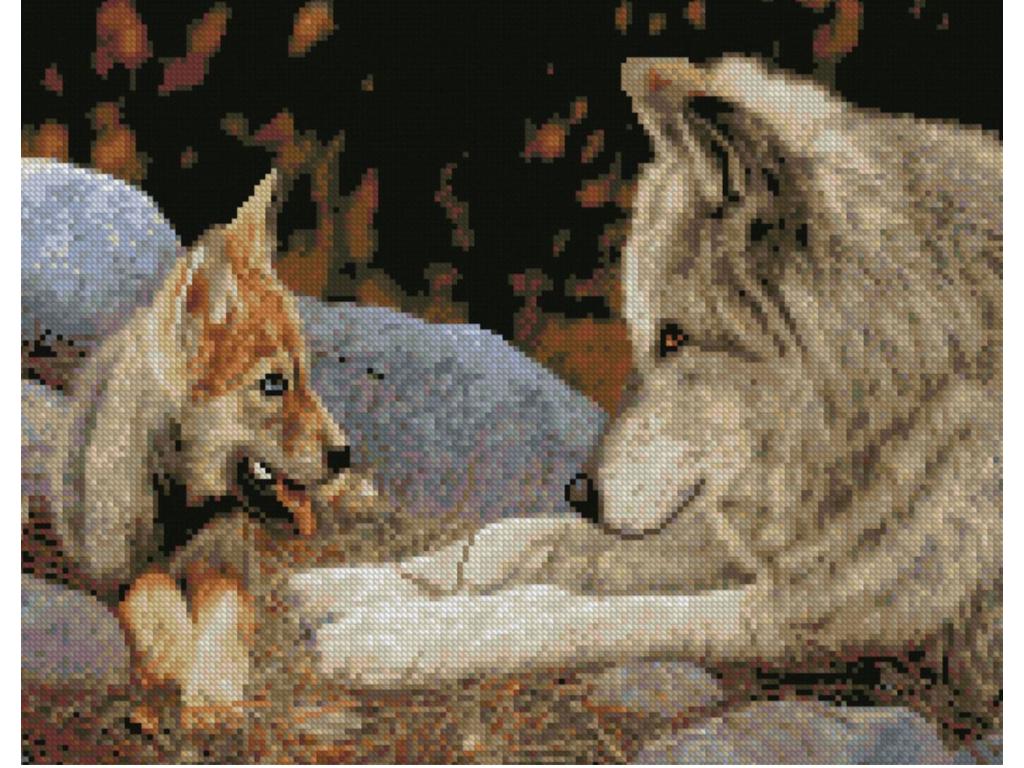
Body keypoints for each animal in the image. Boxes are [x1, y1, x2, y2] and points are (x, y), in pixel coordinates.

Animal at [289, 56, 1001, 731]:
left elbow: (564, 610)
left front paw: (388, 639)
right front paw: (347, 586)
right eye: (644, 333)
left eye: (675, 337)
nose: (580, 493)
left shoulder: (813, 618)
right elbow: (509, 540)